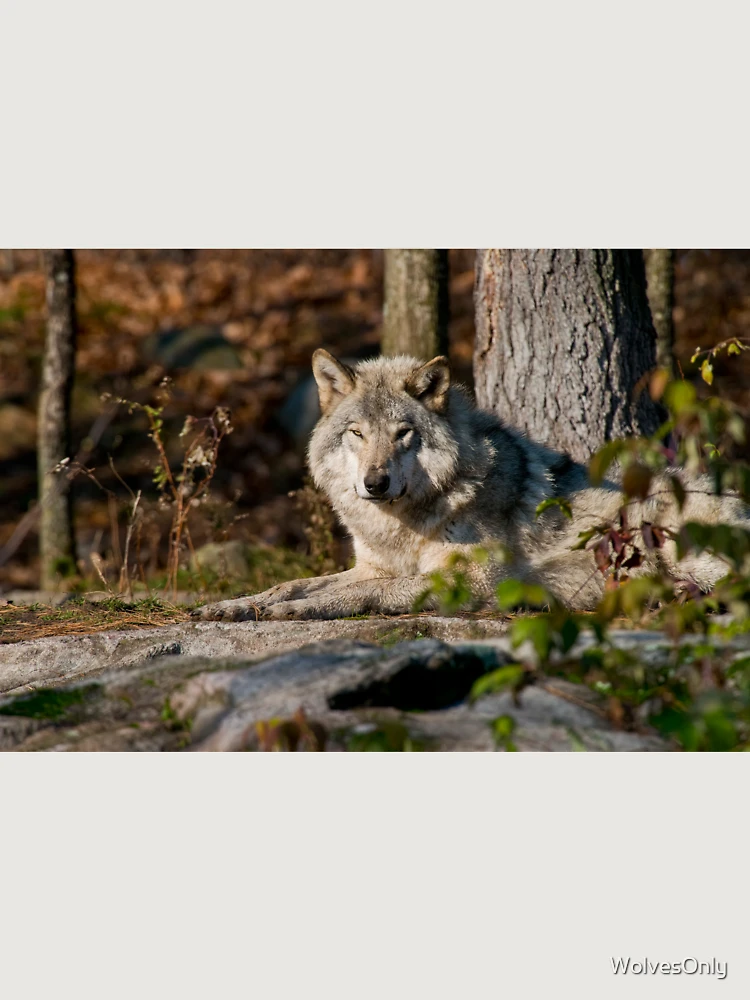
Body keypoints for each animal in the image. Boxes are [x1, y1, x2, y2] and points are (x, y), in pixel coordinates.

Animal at [194, 350, 749, 622]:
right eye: (357, 433)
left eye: (403, 433)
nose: (375, 482)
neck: (403, 525)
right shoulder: (371, 565)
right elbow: (293, 582)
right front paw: (238, 605)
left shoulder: (469, 579)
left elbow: (359, 594)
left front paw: (292, 611)